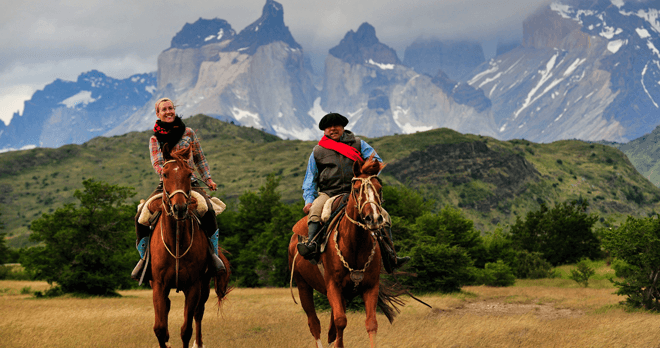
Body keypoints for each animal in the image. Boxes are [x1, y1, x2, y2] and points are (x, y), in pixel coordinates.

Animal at [146, 147, 231, 348]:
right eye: (165, 174)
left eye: (189, 174)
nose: (179, 208)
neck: (176, 242)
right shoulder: (158, 285)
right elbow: (160, 328)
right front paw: (166, 341)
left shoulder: (193, 286)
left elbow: (186, 329)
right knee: (168, 308)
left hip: (204, 285)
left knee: (198, 314)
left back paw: (198, 343)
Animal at [286, 156, 394, 348]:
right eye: (357, 189)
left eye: (379, 188)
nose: (373, 219)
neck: (355, 245)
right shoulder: (333, 286)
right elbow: (340, 321)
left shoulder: (370, 286)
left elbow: (370, 323)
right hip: (303, 285)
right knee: (315, 323)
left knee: (331, 327)